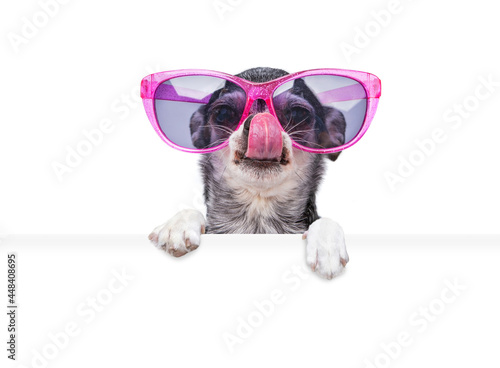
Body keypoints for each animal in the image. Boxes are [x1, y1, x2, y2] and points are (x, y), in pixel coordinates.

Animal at [149, 67, 348, 278]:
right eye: (223, 113)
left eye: (298, 113)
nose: (257, 124)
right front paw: (179, 225)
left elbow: (324, 221)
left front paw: (326, 246)